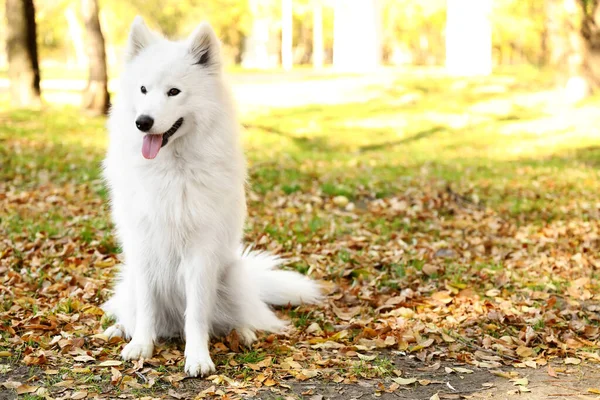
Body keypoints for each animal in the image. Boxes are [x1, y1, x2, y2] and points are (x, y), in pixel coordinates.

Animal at [102, 16, 324, 378]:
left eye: (174, 92)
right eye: (143, 90)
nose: (142, 122)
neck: (172, 169)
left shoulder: (200, 254)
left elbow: (196, 315)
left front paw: (197, 358)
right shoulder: (143, 247)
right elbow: (146, 308)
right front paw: (141, 346)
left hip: (231, 276)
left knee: (237, 317)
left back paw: (243, 333)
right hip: (129, 278)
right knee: (130, 311)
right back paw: (120, 329)